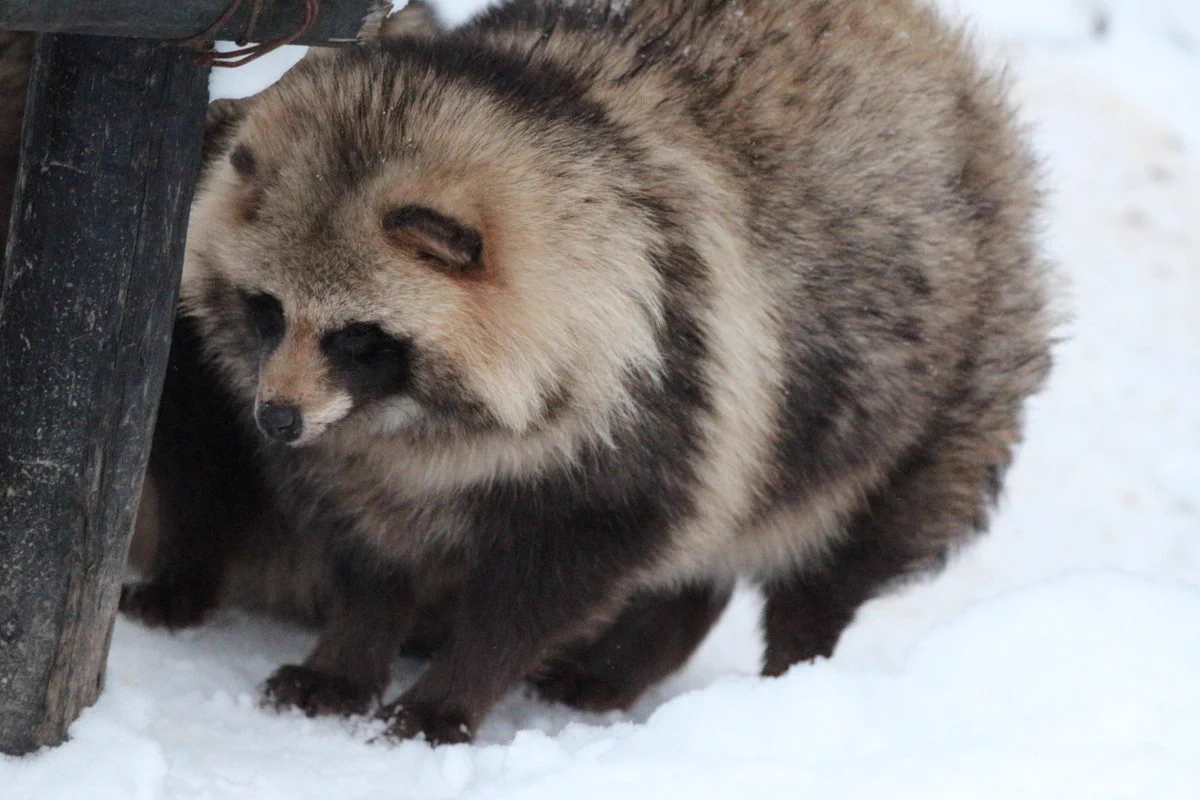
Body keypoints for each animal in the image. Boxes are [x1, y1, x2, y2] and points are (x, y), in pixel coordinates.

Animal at [175, 0, 1051, 743]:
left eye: (359, 338)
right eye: (266, 310)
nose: (276, 419)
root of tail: (932, 42)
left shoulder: (653, 394)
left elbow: (531, 597)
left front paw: (451, 691)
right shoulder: (351, 458)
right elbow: (369, 562)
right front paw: (347, 659)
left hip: (930, 390)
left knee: (837, 558)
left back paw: (792, 680)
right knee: (706, 553)